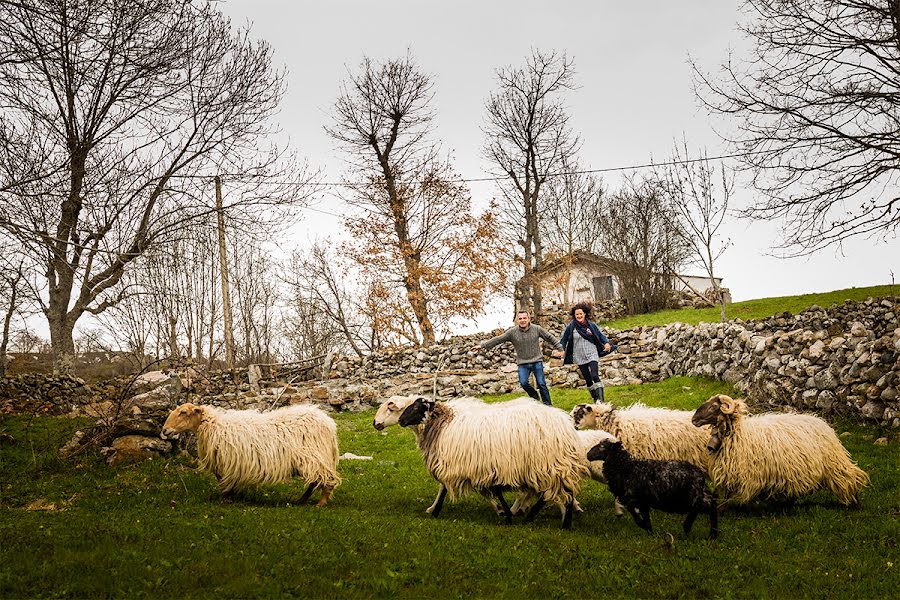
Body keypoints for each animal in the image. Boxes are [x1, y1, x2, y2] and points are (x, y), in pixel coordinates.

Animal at [162, 400, 342, 504]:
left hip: (315, 457)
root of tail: (328, 422)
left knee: (325, 480)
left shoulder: (227, 462)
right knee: (315, 481)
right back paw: (301, 501)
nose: (164, 430)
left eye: (183, 412)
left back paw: (320, 503)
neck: (213, 425)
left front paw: (226, 499)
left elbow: (223, 481)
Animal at [398, 398, 588, 528]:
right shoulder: (485, 468)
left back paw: (560, 521)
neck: (443, 424)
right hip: (547, 467)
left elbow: (445, 488)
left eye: (416, 407)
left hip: (547, 465)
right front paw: (504, 512)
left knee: (558, 494)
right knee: (553, 494)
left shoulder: (465, 466)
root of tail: (566, 426)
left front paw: (435, 510)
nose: (400, 420)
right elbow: (491, 492)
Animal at [588, 436, 720, 540]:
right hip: (697, 496)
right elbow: (646, 517)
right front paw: (650, 532)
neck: (625, 467)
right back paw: (708, 533)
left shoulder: (634, 498)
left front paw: (642, 525)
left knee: (708, 508)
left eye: (602, 447)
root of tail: (699, 475)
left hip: (691, 497)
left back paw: (696, 529)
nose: (588, 455)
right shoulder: (643, 502)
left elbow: (633, 511)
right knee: (709, 506)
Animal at [688, 394, 872, 506]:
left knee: (849, 477)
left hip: (834, 464)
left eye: (713, 407)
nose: (694, 419)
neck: (737, 434)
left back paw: (855, 503)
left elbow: (726, 500)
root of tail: (824, 424)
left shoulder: (743, 471)